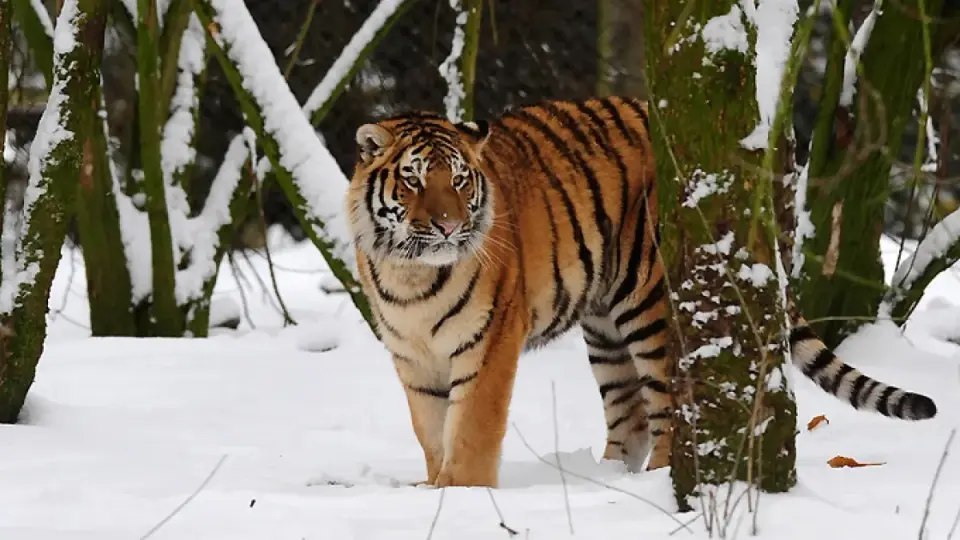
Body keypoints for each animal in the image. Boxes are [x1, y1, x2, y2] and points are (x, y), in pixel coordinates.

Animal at [344, 96, 938, 489]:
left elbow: (469, 432)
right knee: (627, 414)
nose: (449, 226)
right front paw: (435, 491)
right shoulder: (413, 359)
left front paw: (462, 497)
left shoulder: (488, 344)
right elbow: (432, 433)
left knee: (670, 408)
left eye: (460, 180)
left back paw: (654, 483)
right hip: (604, 327)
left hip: (650, 306)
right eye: (414, 181)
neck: (411, 272)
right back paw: (606, 478)